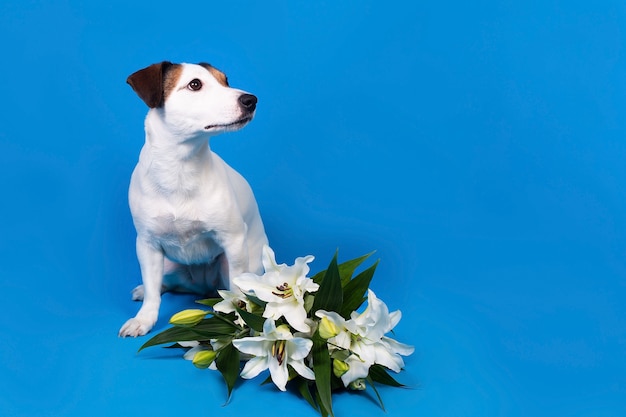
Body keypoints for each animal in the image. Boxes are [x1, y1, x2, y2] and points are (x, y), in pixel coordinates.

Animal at [120, 60, 268, 336]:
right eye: (195, 84)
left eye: (225, 81)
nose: (251, 100)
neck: (179, 168)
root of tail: (202, 286)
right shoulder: (146, 245)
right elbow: (153, 293)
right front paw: (144, 318)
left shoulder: (233, 242)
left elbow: (236, 293)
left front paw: (241, 321)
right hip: (167, 264)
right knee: (162, 283)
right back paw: (146, 289)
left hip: (232, 264)